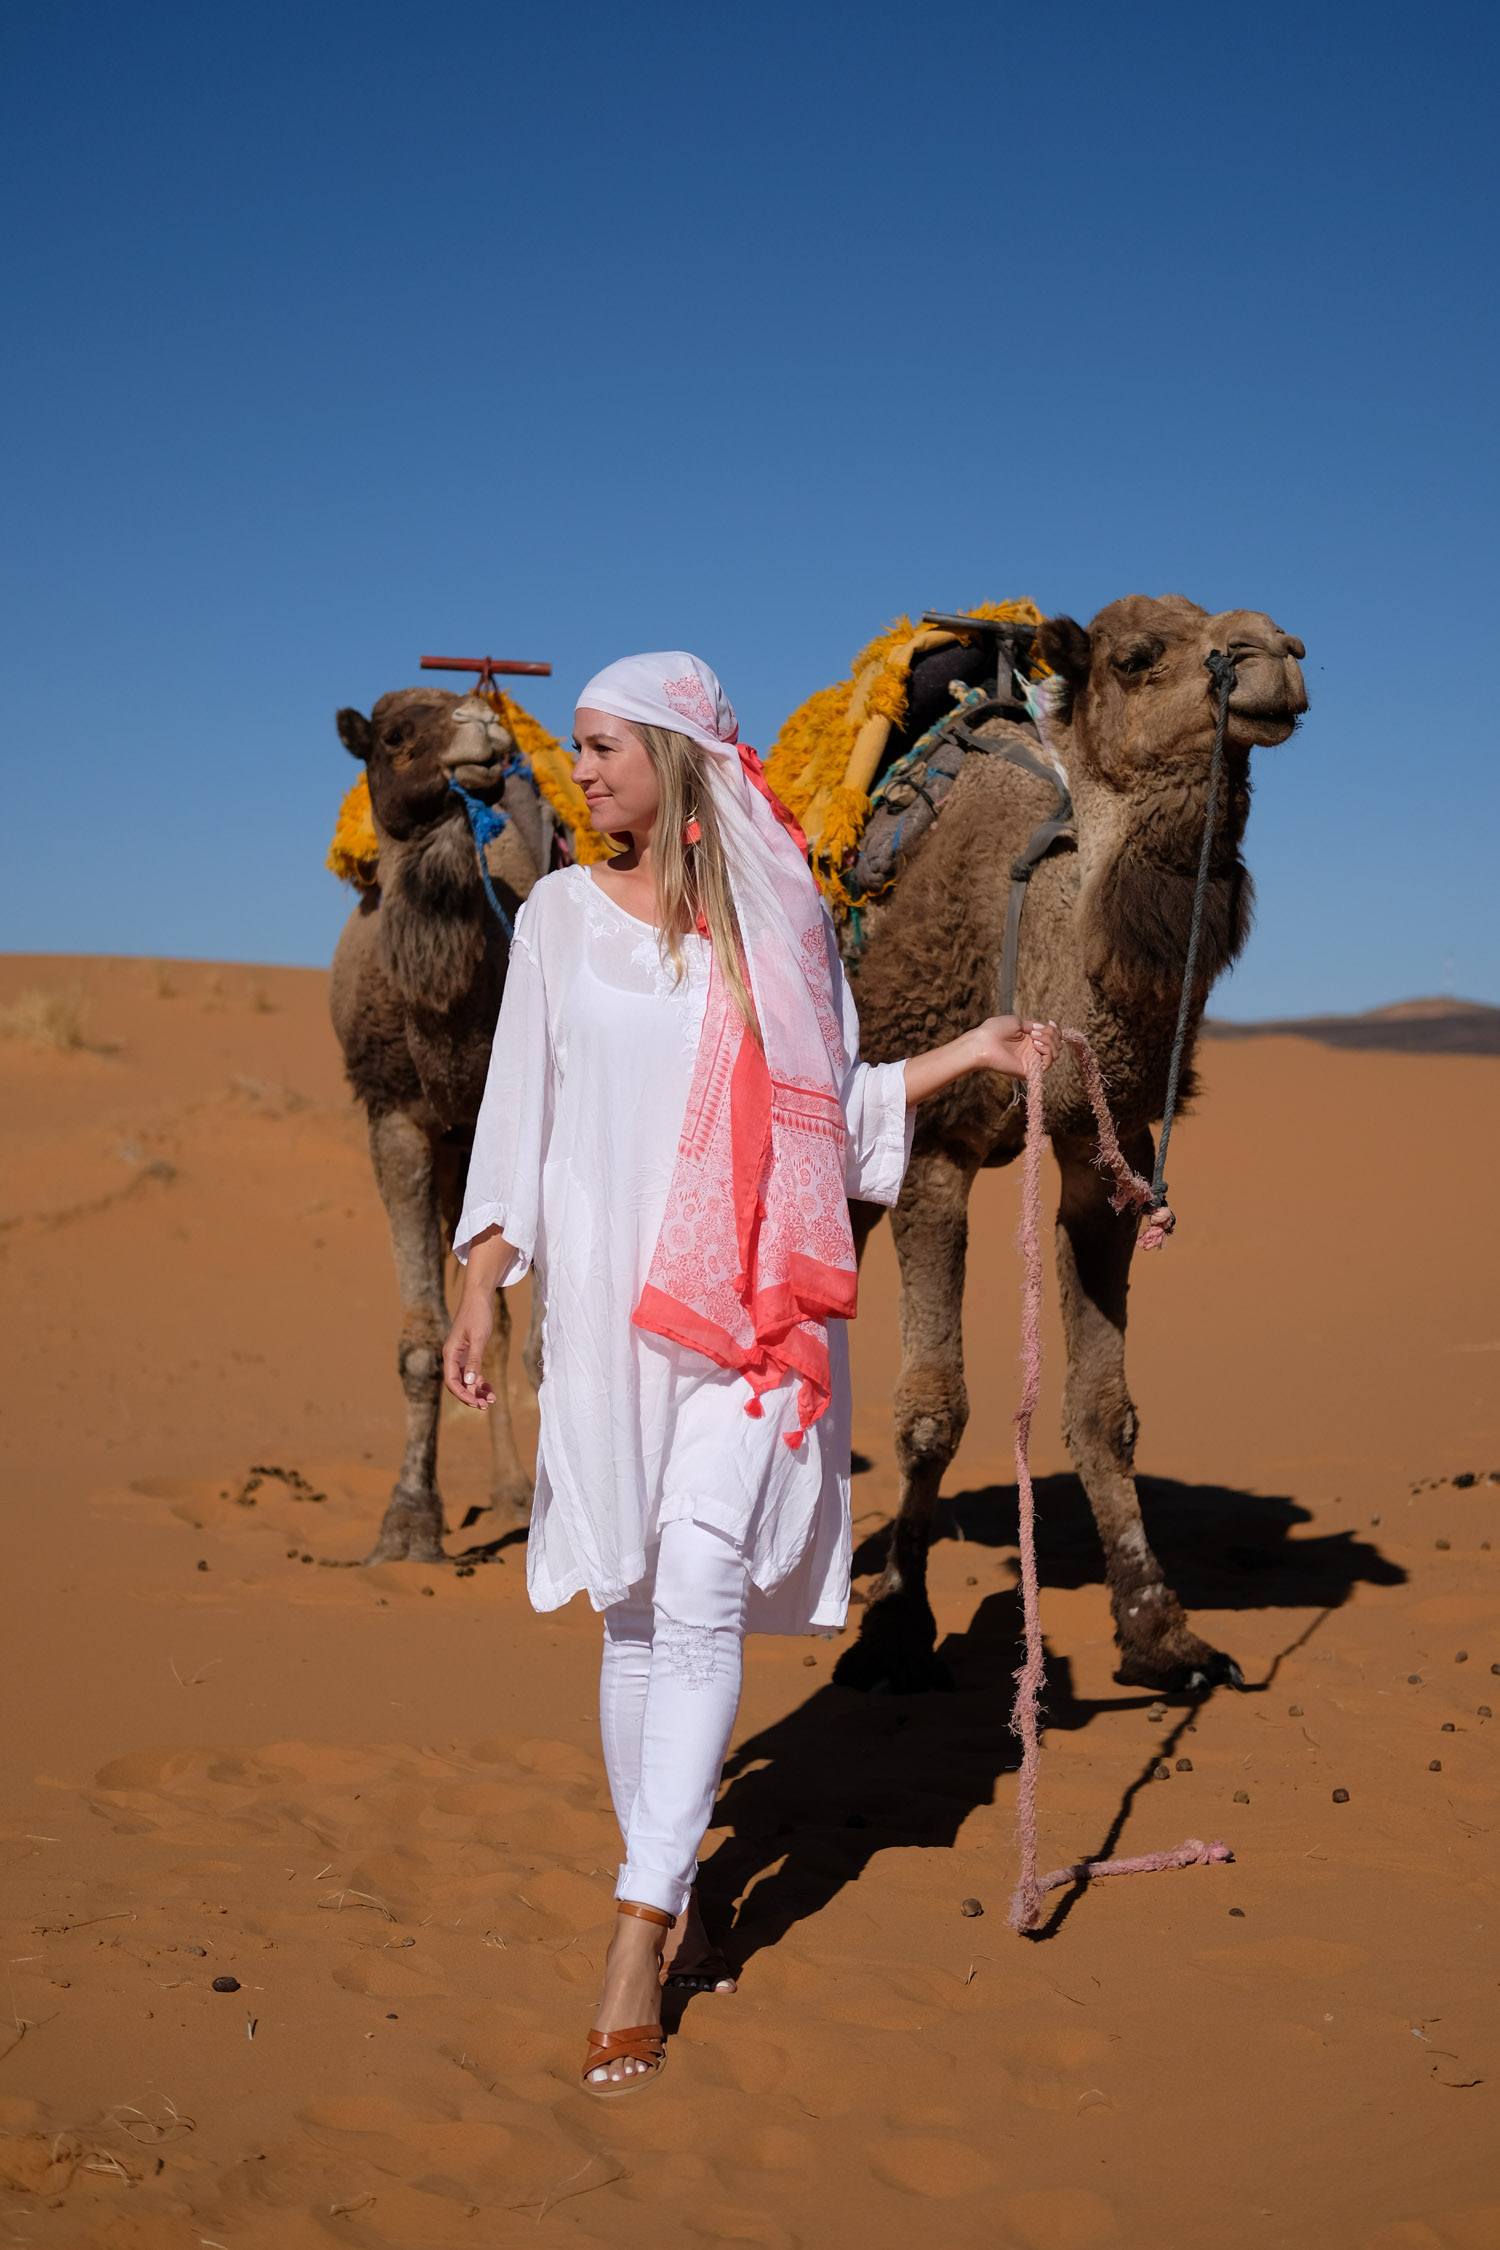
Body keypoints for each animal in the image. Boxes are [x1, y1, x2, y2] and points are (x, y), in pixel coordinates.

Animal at [326, 688, 548, 1566]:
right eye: (393, 734)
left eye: (467, 709)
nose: (483, 727)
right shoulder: (398, 1120)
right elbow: (424, 1342)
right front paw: (408, 1525)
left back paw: (517, 1490)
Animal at [841, 594, 1304, 1692]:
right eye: (1137, 658)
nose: (1277, 656)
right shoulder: (931, 1149)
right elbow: (933, 1410)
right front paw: (897, 1625)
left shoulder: (1107, 1161)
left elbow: (1104, 1410)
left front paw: (1159, 1629)